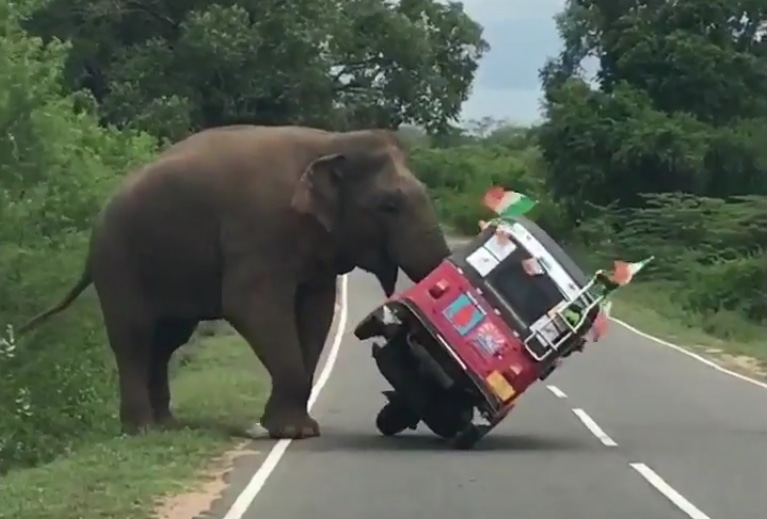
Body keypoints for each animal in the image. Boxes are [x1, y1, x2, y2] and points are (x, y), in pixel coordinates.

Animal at [16, 125, 450, 438]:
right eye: (389, 206)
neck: (331, 142)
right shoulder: (258, 229)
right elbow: (250, 306)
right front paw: (292, 433)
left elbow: (315, 313)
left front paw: (298, 429)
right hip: (118, 261)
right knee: (133, 337)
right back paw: (141, 430)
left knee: (166, 340)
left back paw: (167, 425)